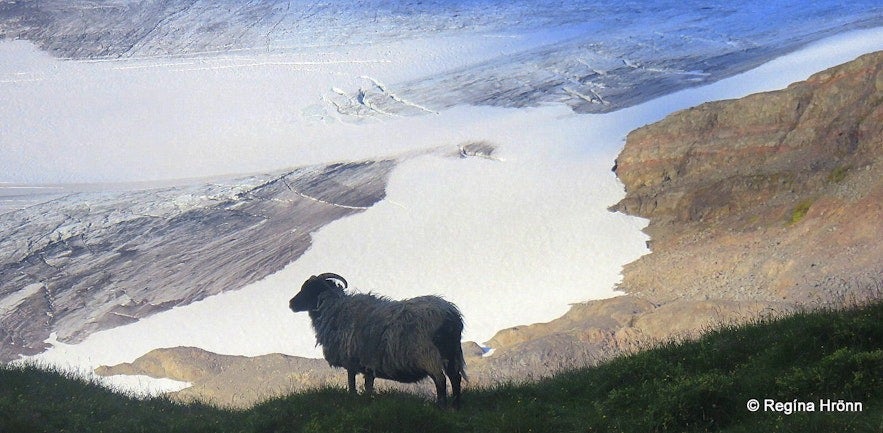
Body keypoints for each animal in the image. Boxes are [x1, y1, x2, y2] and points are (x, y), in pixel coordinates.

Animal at [290, 272, 470, 406]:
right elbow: (368, 387)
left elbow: (352, 386)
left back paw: (441, 407)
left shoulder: (351, 361)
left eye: (309, 288)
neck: (334, 308)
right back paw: (455, 407)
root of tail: (451, 314)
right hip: (450, 352)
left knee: (440, 380)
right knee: (455, 378)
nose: (291, 303)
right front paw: (368, 403)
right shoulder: (369, 364)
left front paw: (354, 401)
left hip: (427, 354)